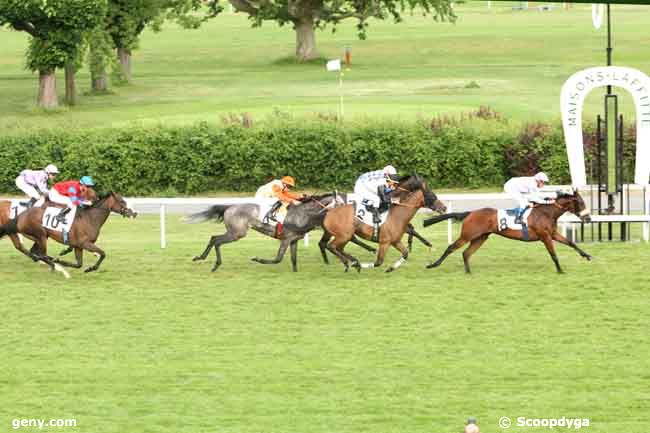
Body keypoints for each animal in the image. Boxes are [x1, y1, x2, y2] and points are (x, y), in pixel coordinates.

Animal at [0, 190, 135, 274]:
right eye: (122, 201)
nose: (134, 213)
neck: (90, 218)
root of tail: (21, 215)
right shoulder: (85, 243)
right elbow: (103, 253)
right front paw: (92, 267)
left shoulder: (78, 246)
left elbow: (79, 264)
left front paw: (86, 267)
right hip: (40, 235)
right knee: (40, 253)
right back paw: (55, 265)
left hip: (38, 236)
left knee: (34, 252)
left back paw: (52, 262)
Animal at [318, 175, 446, 270]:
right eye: (432, 195)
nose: (444, 207)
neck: (397, 215)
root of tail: (329, 212)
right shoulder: (385, 242)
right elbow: (378, 262)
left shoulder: (395, 241)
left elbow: (405, 252)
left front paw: (392, 268)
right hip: (343, 235)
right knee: (331, 246)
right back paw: (349, 263)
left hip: (345, 236)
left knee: (338, 248)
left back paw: (353, 261)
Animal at [420, 190, 592, 272]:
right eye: (581, 203)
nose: (588, 218)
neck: (546, 212)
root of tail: (470, 213)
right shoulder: (545, 236)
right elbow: (553, 254)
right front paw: (560, 270)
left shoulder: (553, 234)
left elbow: (571, 243)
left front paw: (587, 256)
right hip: (468, 235)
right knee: (451, 248)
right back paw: (433, 265)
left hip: (481, 237)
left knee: (466, 253)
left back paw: (468, 272)